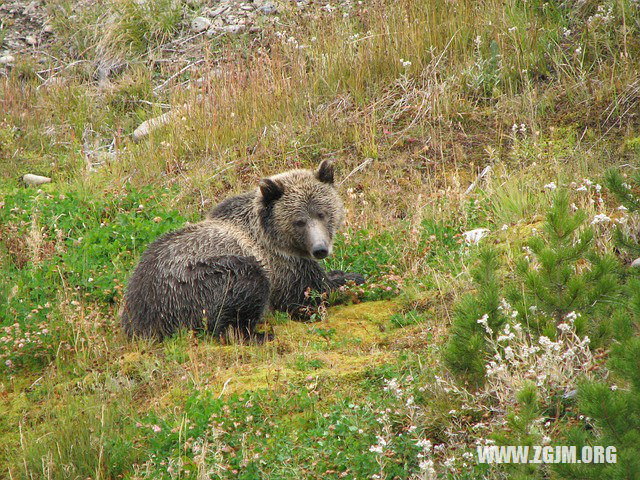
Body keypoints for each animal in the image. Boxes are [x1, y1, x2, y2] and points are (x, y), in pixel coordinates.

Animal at [119, 159, 360, 340]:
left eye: (322, 213)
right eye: (299, 221)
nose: (320, 249)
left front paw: (342, 273)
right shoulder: (282, 265)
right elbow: (308, 293)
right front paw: (354, 279)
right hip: (196, 281)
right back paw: (259, 334)